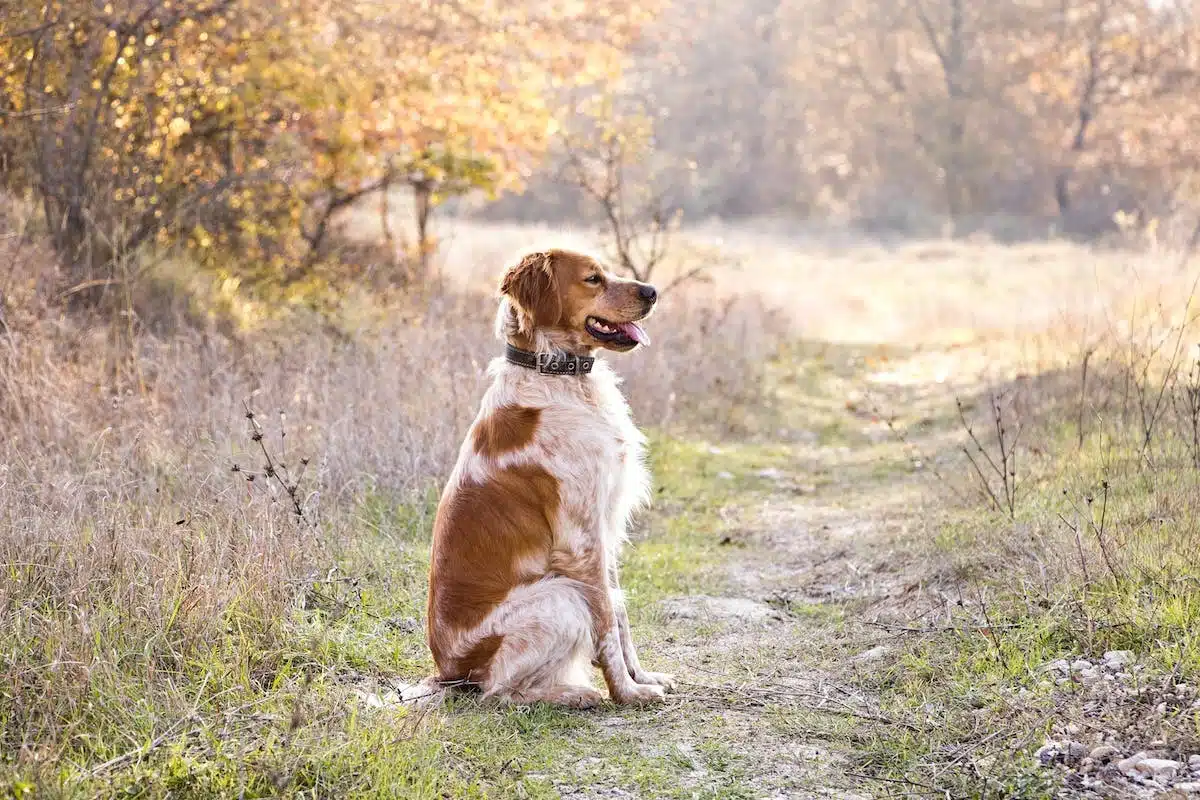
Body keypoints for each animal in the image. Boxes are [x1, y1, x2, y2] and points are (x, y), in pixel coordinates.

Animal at [424, 248, 676, 705]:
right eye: (593, 278)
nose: (652, 291)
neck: (556, 373)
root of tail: (447, 673)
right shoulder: (580, 541)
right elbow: (606, 622)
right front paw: (626, 692)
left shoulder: (602, 527)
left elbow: (619, 609)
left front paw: (642, 676)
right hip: (560, 596)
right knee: (500, 692)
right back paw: (575, 694)